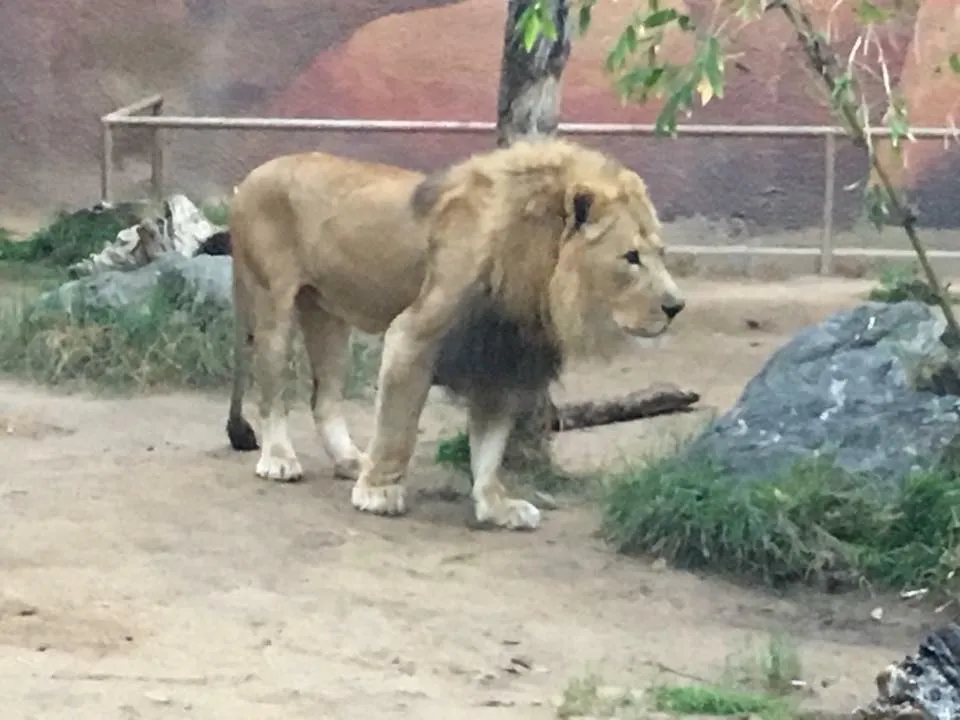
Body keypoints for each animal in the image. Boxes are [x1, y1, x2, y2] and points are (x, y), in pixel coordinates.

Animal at [219, 139, 684, 536]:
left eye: (661, 254)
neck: (537, 265)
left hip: (328, 315)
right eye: (631, 257)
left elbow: (490, 446)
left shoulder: (503, 354)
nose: (676, 306)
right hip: (272, 302)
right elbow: (399, 425)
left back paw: (351, 460)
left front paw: (496, 505)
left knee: (324, 397)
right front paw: (379, 492)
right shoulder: (415, 332)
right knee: (270, 389)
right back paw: (280, 459)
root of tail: (250, 178)